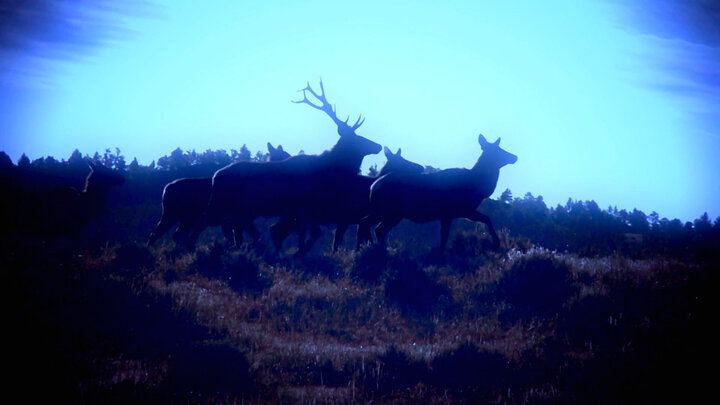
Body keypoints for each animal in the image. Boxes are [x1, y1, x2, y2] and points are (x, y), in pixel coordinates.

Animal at [147, 143, 291, 248]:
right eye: (284, 154)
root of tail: (165, 190)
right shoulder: (245, 217)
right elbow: (248, 236)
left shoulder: (245, 218)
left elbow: (248, 236)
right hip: (172, 214)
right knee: (159, 232)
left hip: (185, 219)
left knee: (174, 234)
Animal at [207, 80, 382, 251]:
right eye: (358, 138)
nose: (378, 146)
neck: (331, 173)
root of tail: (215, 177)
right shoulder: (304, 208)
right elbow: (305, 236)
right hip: (234, 206)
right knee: (228, 225)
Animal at [269, 146, 424, 253]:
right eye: (403, 160)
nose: (420, 166)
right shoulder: (347, 218)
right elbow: (347, 240)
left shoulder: (349, 219)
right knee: (276, 230)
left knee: (276, 229)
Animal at [362, 134, 517, 251]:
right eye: (498, 150)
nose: (514, 157)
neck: (478, 187)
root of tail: (373, 186)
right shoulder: (459, 210)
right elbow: (486, 219)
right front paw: (496, 243)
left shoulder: (451, 214)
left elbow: (444, 238)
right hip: (389, 212)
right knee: (378, 229)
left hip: (385, 212)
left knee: (370, 225)